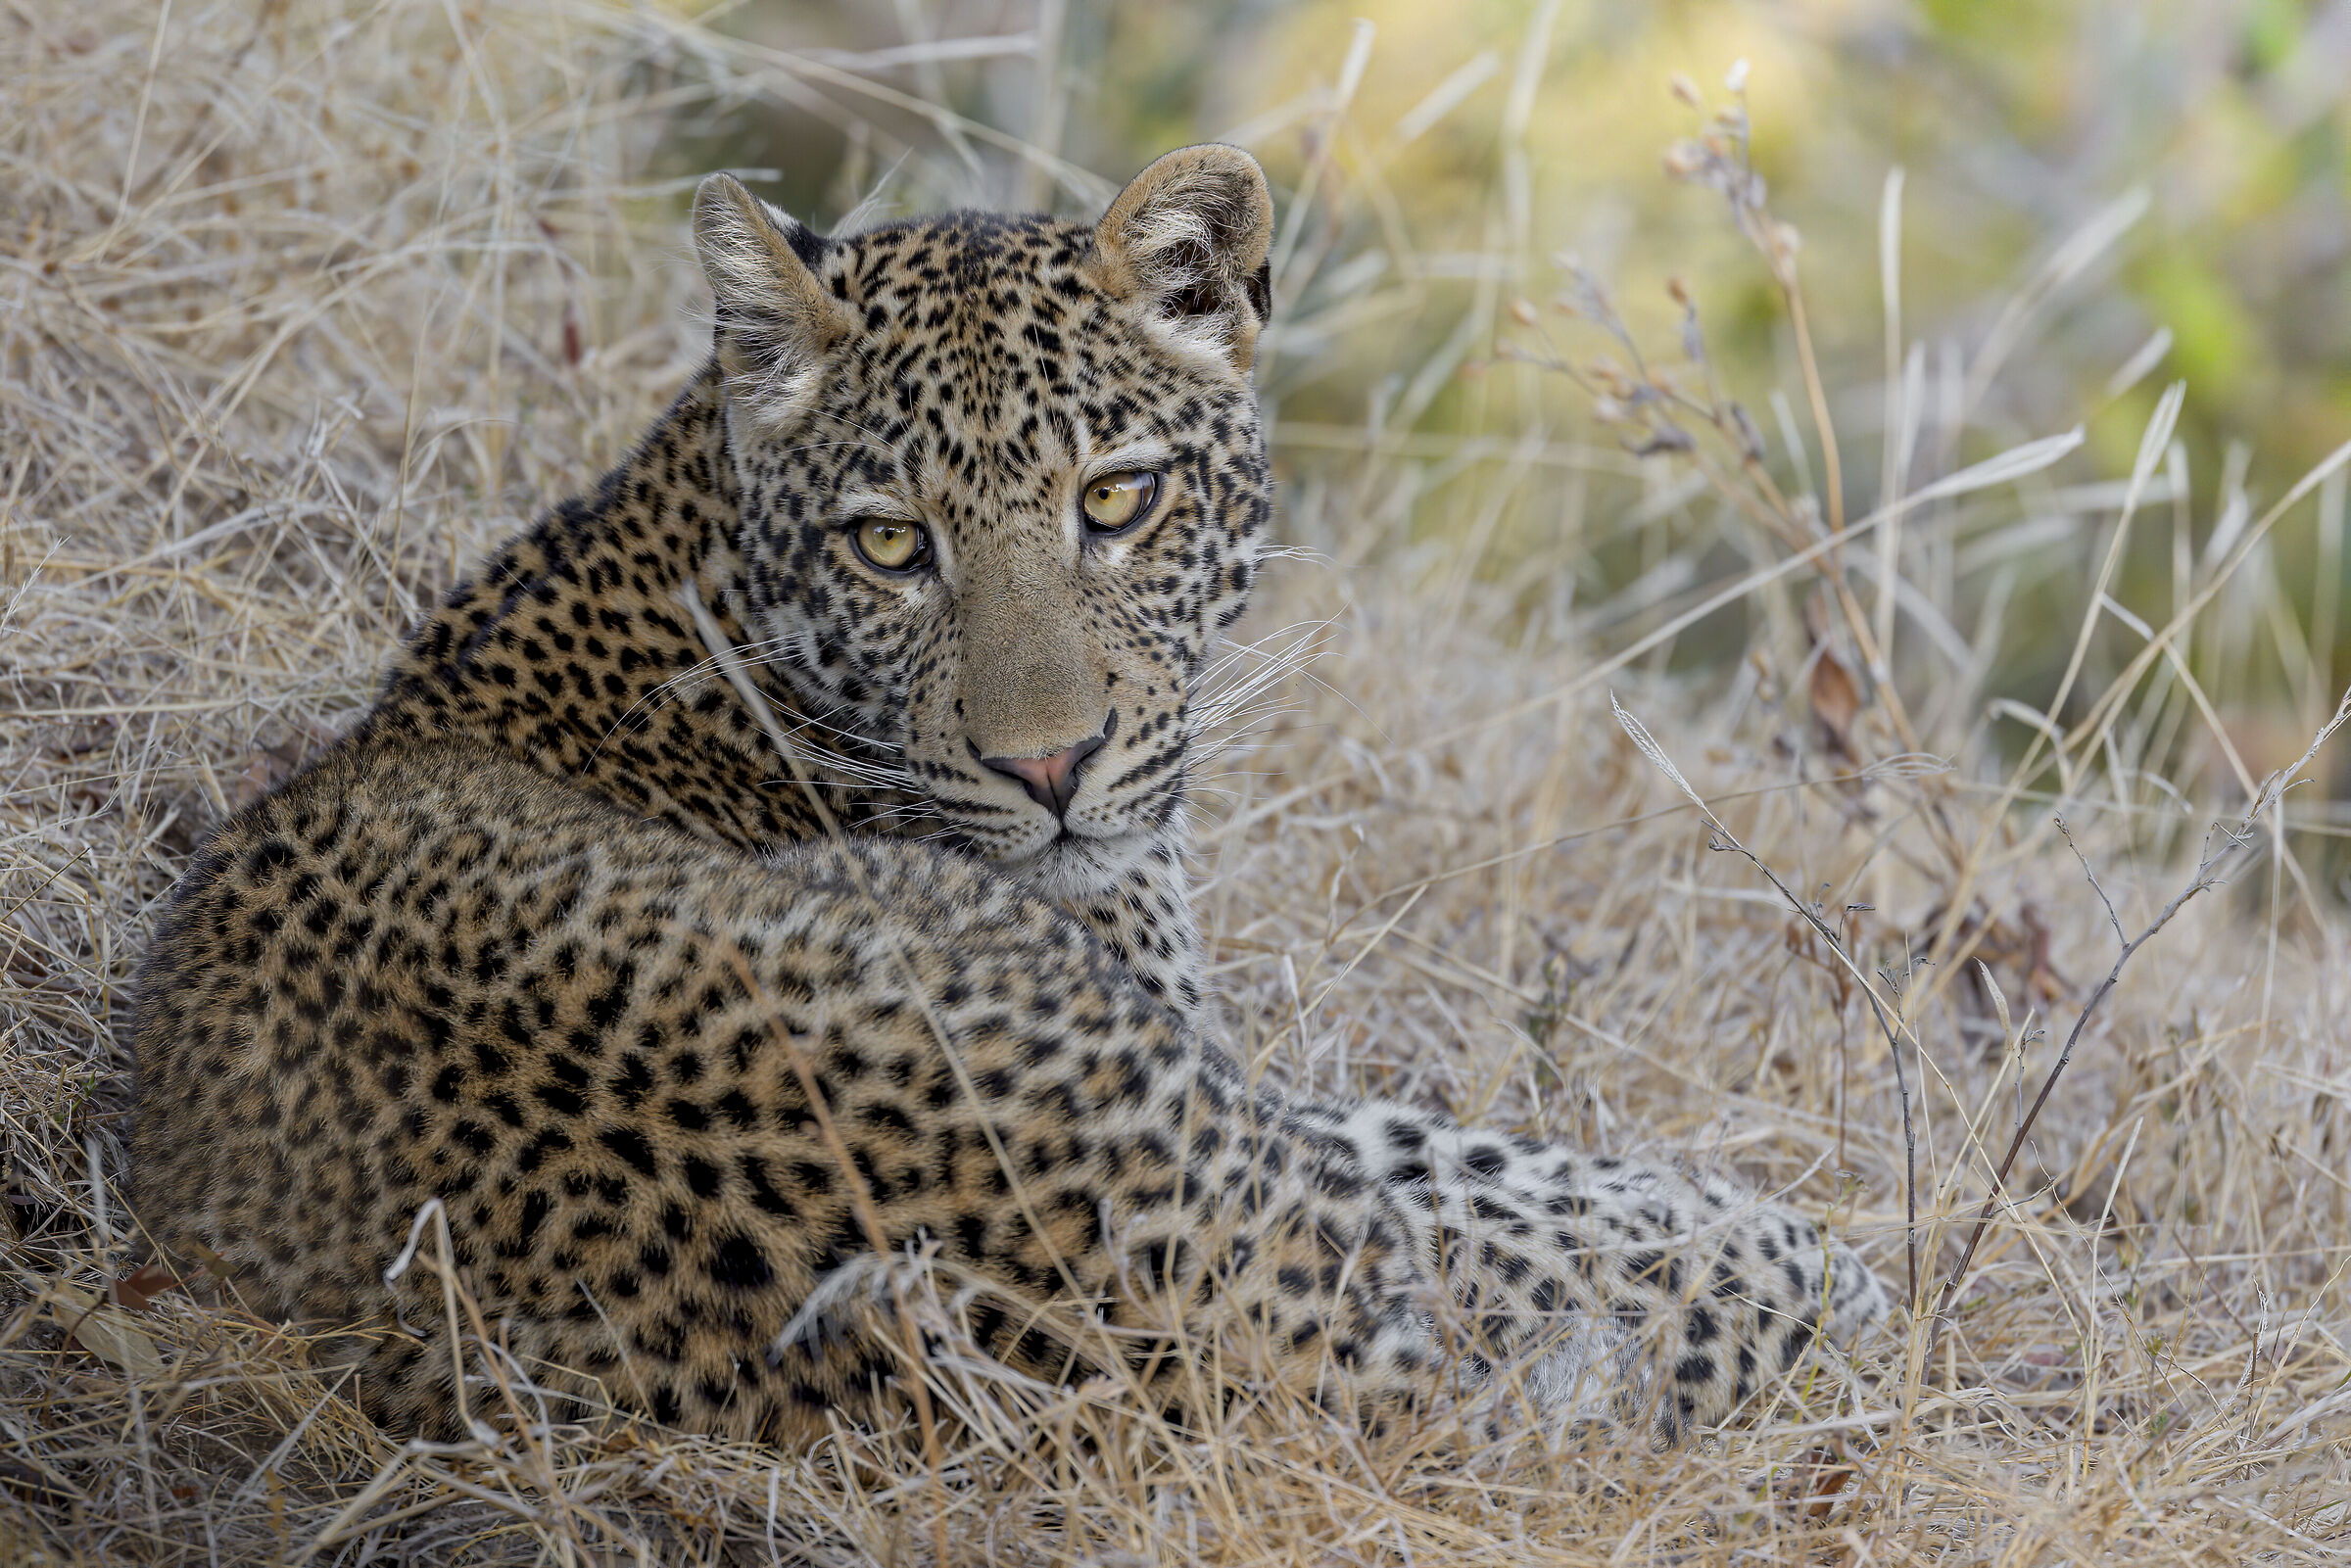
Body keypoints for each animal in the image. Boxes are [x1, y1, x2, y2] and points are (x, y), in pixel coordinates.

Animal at [128, 145, 1889, 1454]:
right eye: (890, 542)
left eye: (1114, 501)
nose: (1049, 769)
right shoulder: (1204, 1062)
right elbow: (1487, 1174)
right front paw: (1809, 1245)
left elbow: (1474, 1151)